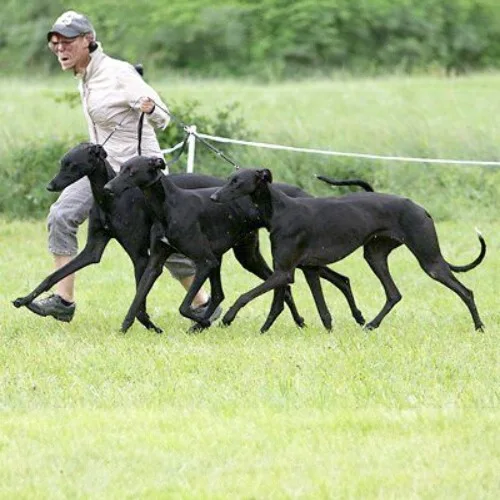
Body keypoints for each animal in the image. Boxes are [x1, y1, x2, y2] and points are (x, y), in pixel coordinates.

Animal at [210, 168, 484, 332]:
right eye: (229, 179)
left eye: (237, 182)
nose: (212, 197)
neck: (280, 211)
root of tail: (421, 208)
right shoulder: (298, 270)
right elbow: (306, 307)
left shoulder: (284, 272)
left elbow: (246, 295)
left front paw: (228, 318)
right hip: (375, 255)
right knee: (393, 294)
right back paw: (371, 324)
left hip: (430, 261)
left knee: (466, 292)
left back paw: (479, 326)